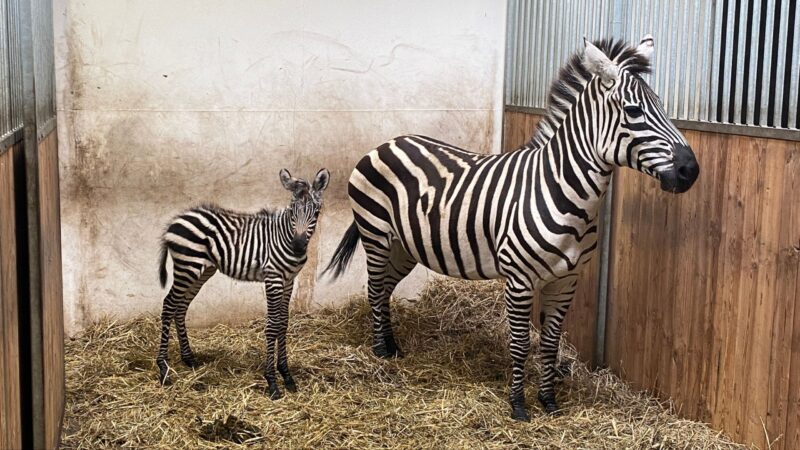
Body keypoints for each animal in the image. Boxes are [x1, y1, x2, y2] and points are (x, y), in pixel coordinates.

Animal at [156, 168, 330, 400]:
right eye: (293, 211)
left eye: (316, 213)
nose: (298, 246)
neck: (284, 236)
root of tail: (176, 220)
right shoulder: (273, 278)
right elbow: (273, 326)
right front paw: (272, 382)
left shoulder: (288, 281)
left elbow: (283, 323)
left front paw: (286, 375)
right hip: (188, 267)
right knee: (168, 305)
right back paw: (163, 369)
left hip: (201, 271)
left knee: (180, 307)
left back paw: (188, 359)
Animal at [323, 36, 699, 421]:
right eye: (634, 111)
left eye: (662, 106)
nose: (691, 170)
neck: (565, 193)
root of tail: (386, 143)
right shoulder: (519, 278)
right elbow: (520, 344)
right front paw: (518, 404)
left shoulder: (566, 280)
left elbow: (549, 344)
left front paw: (549, 401)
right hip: (376, 235)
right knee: (373, 288)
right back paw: (380, 350)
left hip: (405, 245)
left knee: (384, 289)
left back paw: (393, 346)